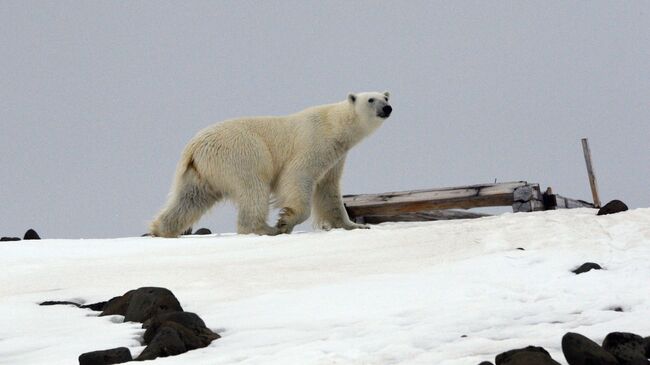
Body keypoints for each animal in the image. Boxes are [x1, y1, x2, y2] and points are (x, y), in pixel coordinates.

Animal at [150, 91, 392, 236]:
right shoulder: (314, 142)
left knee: (190, 198)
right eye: (371, 99)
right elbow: (297, 176)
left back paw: (161, 229)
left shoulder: (336, 157)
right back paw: (265, 229)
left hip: (201, 171)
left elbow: (328, 190)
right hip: (241, 154)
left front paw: (355, 225)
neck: (334, 125)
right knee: (253, 188)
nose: (387, 108)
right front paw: (285, 222)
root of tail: (194, 146)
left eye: (386, 98)